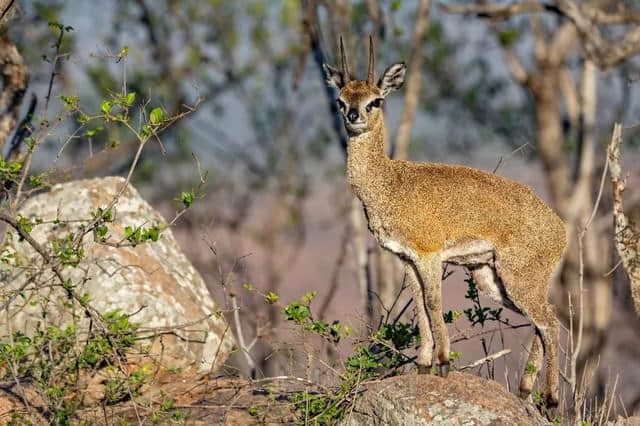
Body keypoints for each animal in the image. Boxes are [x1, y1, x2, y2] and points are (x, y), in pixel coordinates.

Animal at [324, 35, 564, 404]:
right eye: (340, 99)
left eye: (375, 101)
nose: (353, 116)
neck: (391, 182)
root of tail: (561, 229)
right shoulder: (406, 258)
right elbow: (420, 305)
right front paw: (424, 364)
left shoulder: (429, 254)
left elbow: (433, 302)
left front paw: (443, 362)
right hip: (492, 279)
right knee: (544, 319)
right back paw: (525, 389)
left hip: (520, 277)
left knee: (551, 321)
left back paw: (551, 397)